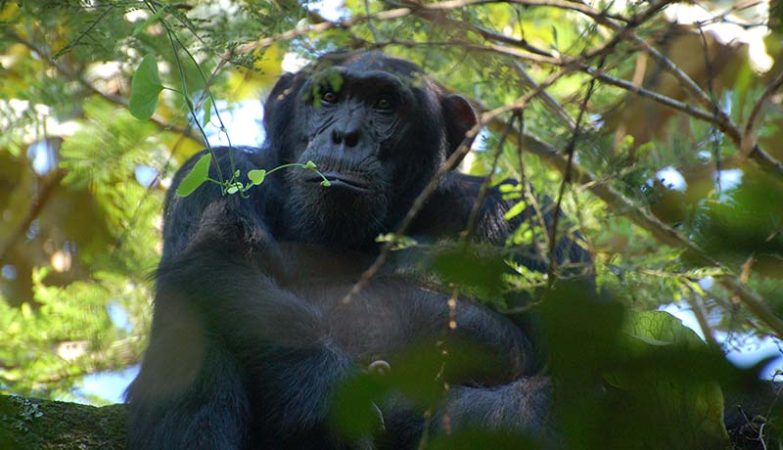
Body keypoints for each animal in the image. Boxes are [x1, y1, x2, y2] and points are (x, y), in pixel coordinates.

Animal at [125, 51, 592, 448]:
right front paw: (330, 398)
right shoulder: (216, 172)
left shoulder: (527, 218)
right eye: (328, 97)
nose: (345, 135)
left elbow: (582, 376)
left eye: (384, 104)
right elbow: (220, 254)